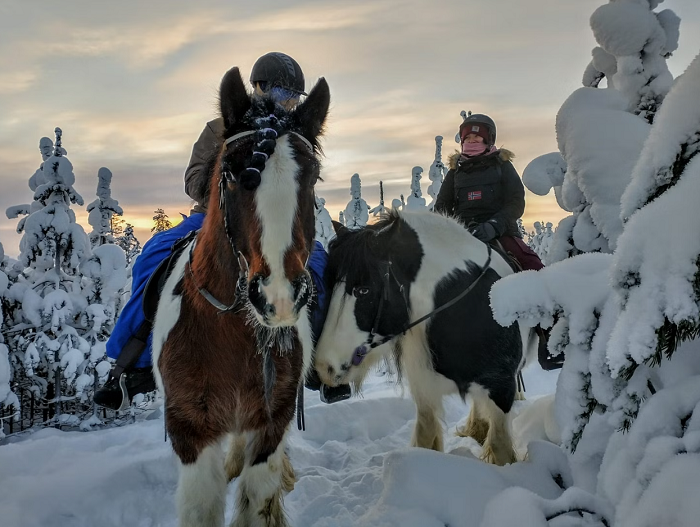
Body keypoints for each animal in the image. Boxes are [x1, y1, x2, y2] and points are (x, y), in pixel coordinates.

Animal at [152, 67, 330, 527]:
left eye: (313, 176)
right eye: (232, 174)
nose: (279, 296)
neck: (230, 334)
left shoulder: (271, 421)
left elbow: (257, 500)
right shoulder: (191, 431)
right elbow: (202, 508)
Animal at [314, 210, 532, 466]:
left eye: (364, 290)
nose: (323, 366)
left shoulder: (501, 389)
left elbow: (500, 449)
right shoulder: (425, 389)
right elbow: (426, 438)